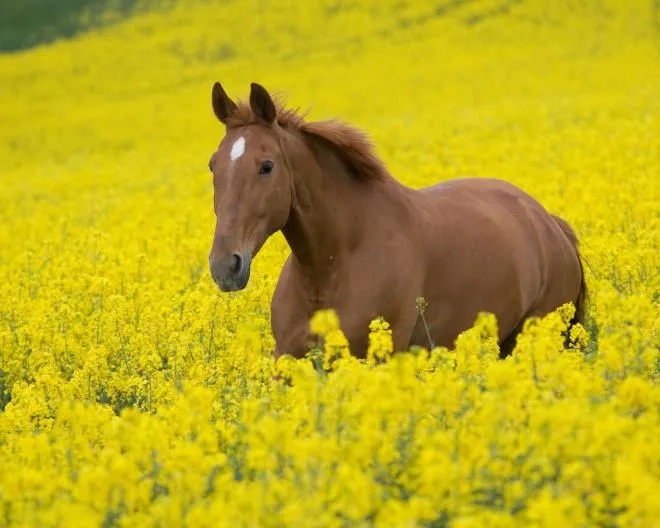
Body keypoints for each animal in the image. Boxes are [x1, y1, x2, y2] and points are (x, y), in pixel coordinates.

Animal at [208, 82, 588, 360]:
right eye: (213, 165)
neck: (331, 266)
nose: (225, 267)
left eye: (266, 166)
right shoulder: (287, 357)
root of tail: (550, 224)